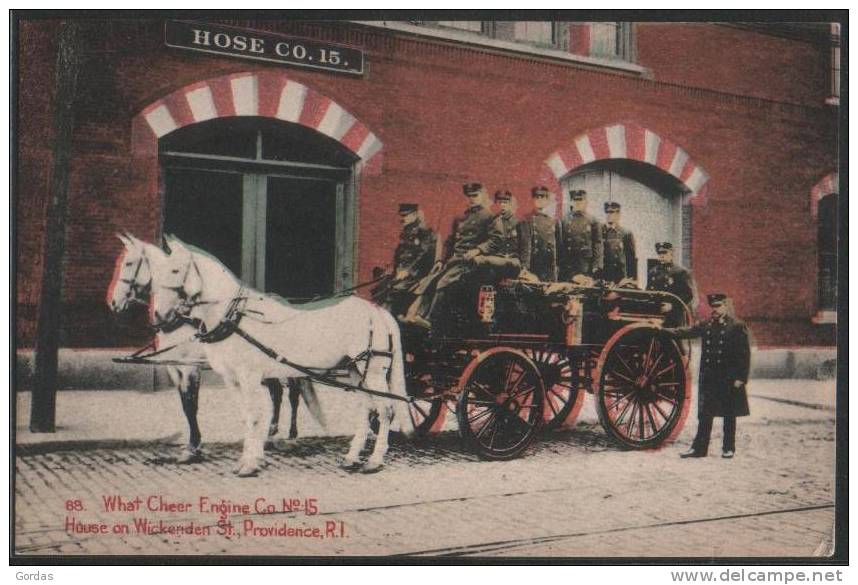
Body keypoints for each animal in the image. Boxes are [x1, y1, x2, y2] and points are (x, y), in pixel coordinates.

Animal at [107, 235, 320, 464]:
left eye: (128, 263)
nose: (113, 302)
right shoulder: (174, 367)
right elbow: (185, 404)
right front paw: (193, 445)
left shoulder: (191, 366)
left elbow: (191, 404)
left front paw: (193, 447)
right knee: (277, 392)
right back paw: (270, 436)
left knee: (293, 393)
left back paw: (291, 435)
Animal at [146, 234, 412, 474]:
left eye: (175, 270)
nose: (159, 317)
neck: (235, 317)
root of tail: (377, 311)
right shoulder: (232, 378)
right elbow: (245, 417)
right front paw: (252, 459)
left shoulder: (249, 376)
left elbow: (254, 416)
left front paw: (249, 464)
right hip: (355, 369)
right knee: (365, 409)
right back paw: (351, 457)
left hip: (374, 371)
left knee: (386, 410)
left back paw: (374, 461)